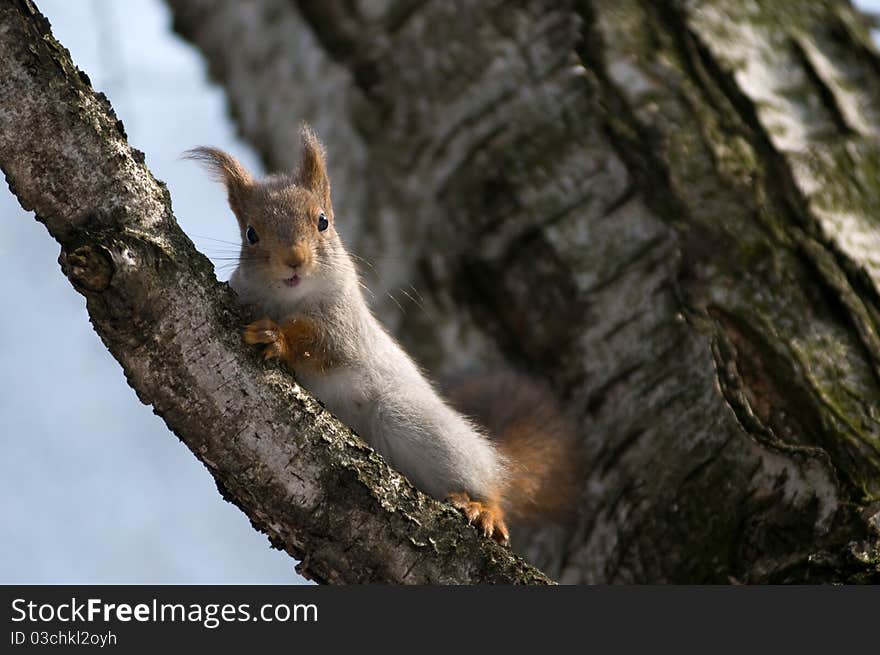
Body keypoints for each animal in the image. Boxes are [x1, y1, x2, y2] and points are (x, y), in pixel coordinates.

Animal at [187, 125, 576, 544]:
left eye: (322, 221)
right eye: (251, 234)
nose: (294, 260)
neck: (288, 302)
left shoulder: (347, 327)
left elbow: (323, 347)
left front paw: (277, 338)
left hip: (414, 421)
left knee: (487, 484)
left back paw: (484, 508)